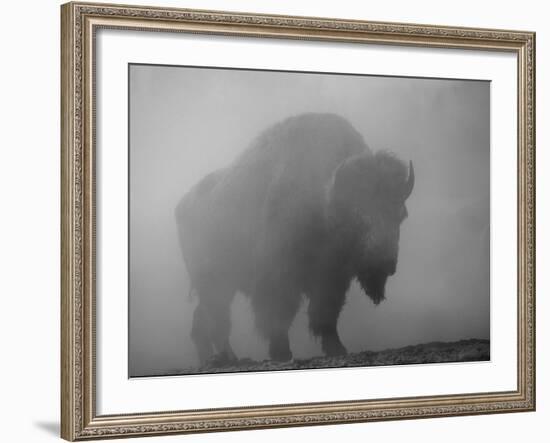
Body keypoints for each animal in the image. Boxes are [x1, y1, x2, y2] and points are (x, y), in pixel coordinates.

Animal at [176, 113, 414, 364]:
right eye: (358, 215)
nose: (385, 263)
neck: (325, 200)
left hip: (219, 285)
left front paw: (337, 348)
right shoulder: (279, 277)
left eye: (400, 214)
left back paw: (211, 359)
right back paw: (229, 357)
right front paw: (281, 353)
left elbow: (325, 314)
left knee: (203, 320)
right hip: (214, 282)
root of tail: (182, 206)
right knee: (217, 319)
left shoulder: (332, 279)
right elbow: (278, 315)